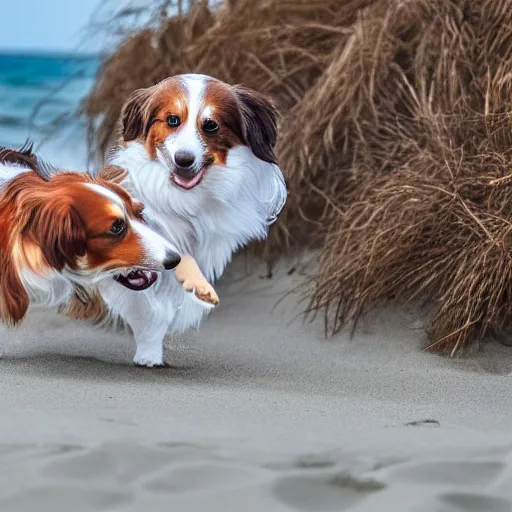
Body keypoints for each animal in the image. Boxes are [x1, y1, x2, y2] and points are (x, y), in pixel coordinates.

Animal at [94, 74, 288, 366]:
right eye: (172, 120)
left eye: (210, 125)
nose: (183, 160)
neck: (184, 198)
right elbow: (147, 308)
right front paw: (149, 353)